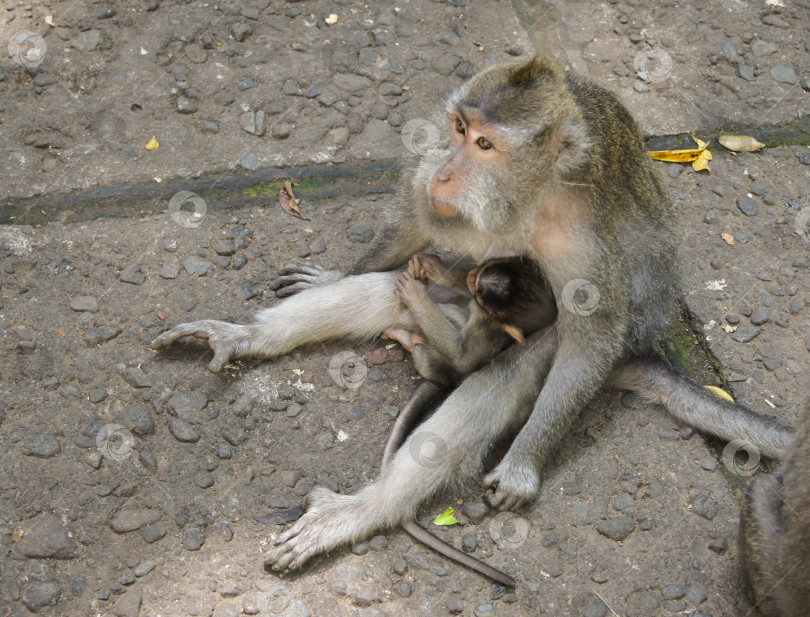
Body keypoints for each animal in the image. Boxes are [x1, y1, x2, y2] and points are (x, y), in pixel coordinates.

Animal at [378, 253, 556, 584]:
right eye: (504, 267)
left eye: (484, 293)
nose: (475, 275)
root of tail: (442, 379)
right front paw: (432, 266)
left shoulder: (484, 327)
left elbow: (463, 355)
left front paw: (414, 292)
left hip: (431, 359)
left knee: (434, 350)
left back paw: (405, 332)